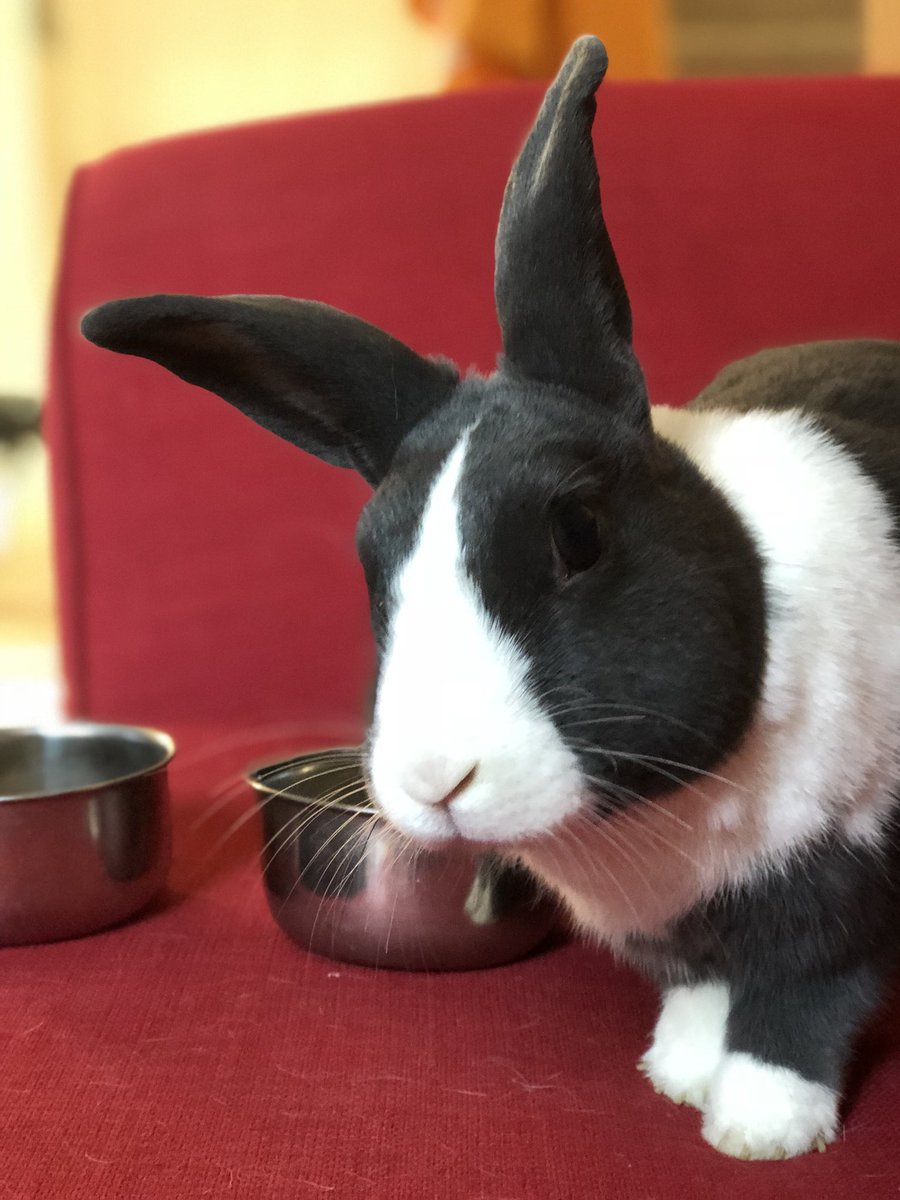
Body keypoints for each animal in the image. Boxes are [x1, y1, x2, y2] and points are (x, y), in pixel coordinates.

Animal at [81, 35, 900, 1161]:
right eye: (371, 563)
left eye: (578, 533)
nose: (439, 779)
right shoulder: (684, 927)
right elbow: (701, 984)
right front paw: (677, 1071)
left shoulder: (840, 871)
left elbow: (803, 994)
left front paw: (759, 1127)